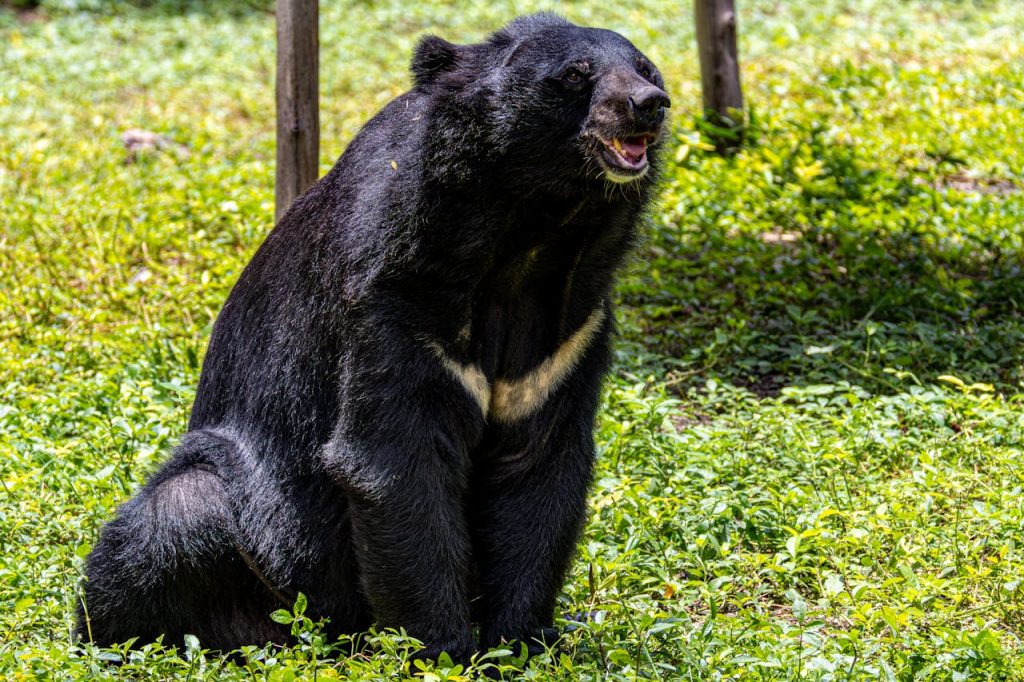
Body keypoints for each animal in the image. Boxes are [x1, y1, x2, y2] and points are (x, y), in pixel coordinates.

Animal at [77, 13, 670, 663]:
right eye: (574, 75)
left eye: (646, 68)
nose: (649, 105)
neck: (532, 235)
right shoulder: (395, 296)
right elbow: (394, 459)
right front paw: (444, 652)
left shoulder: (567, 334)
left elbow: (539, 465)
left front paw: (521, 643)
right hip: (257, 531)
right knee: (169, 523)